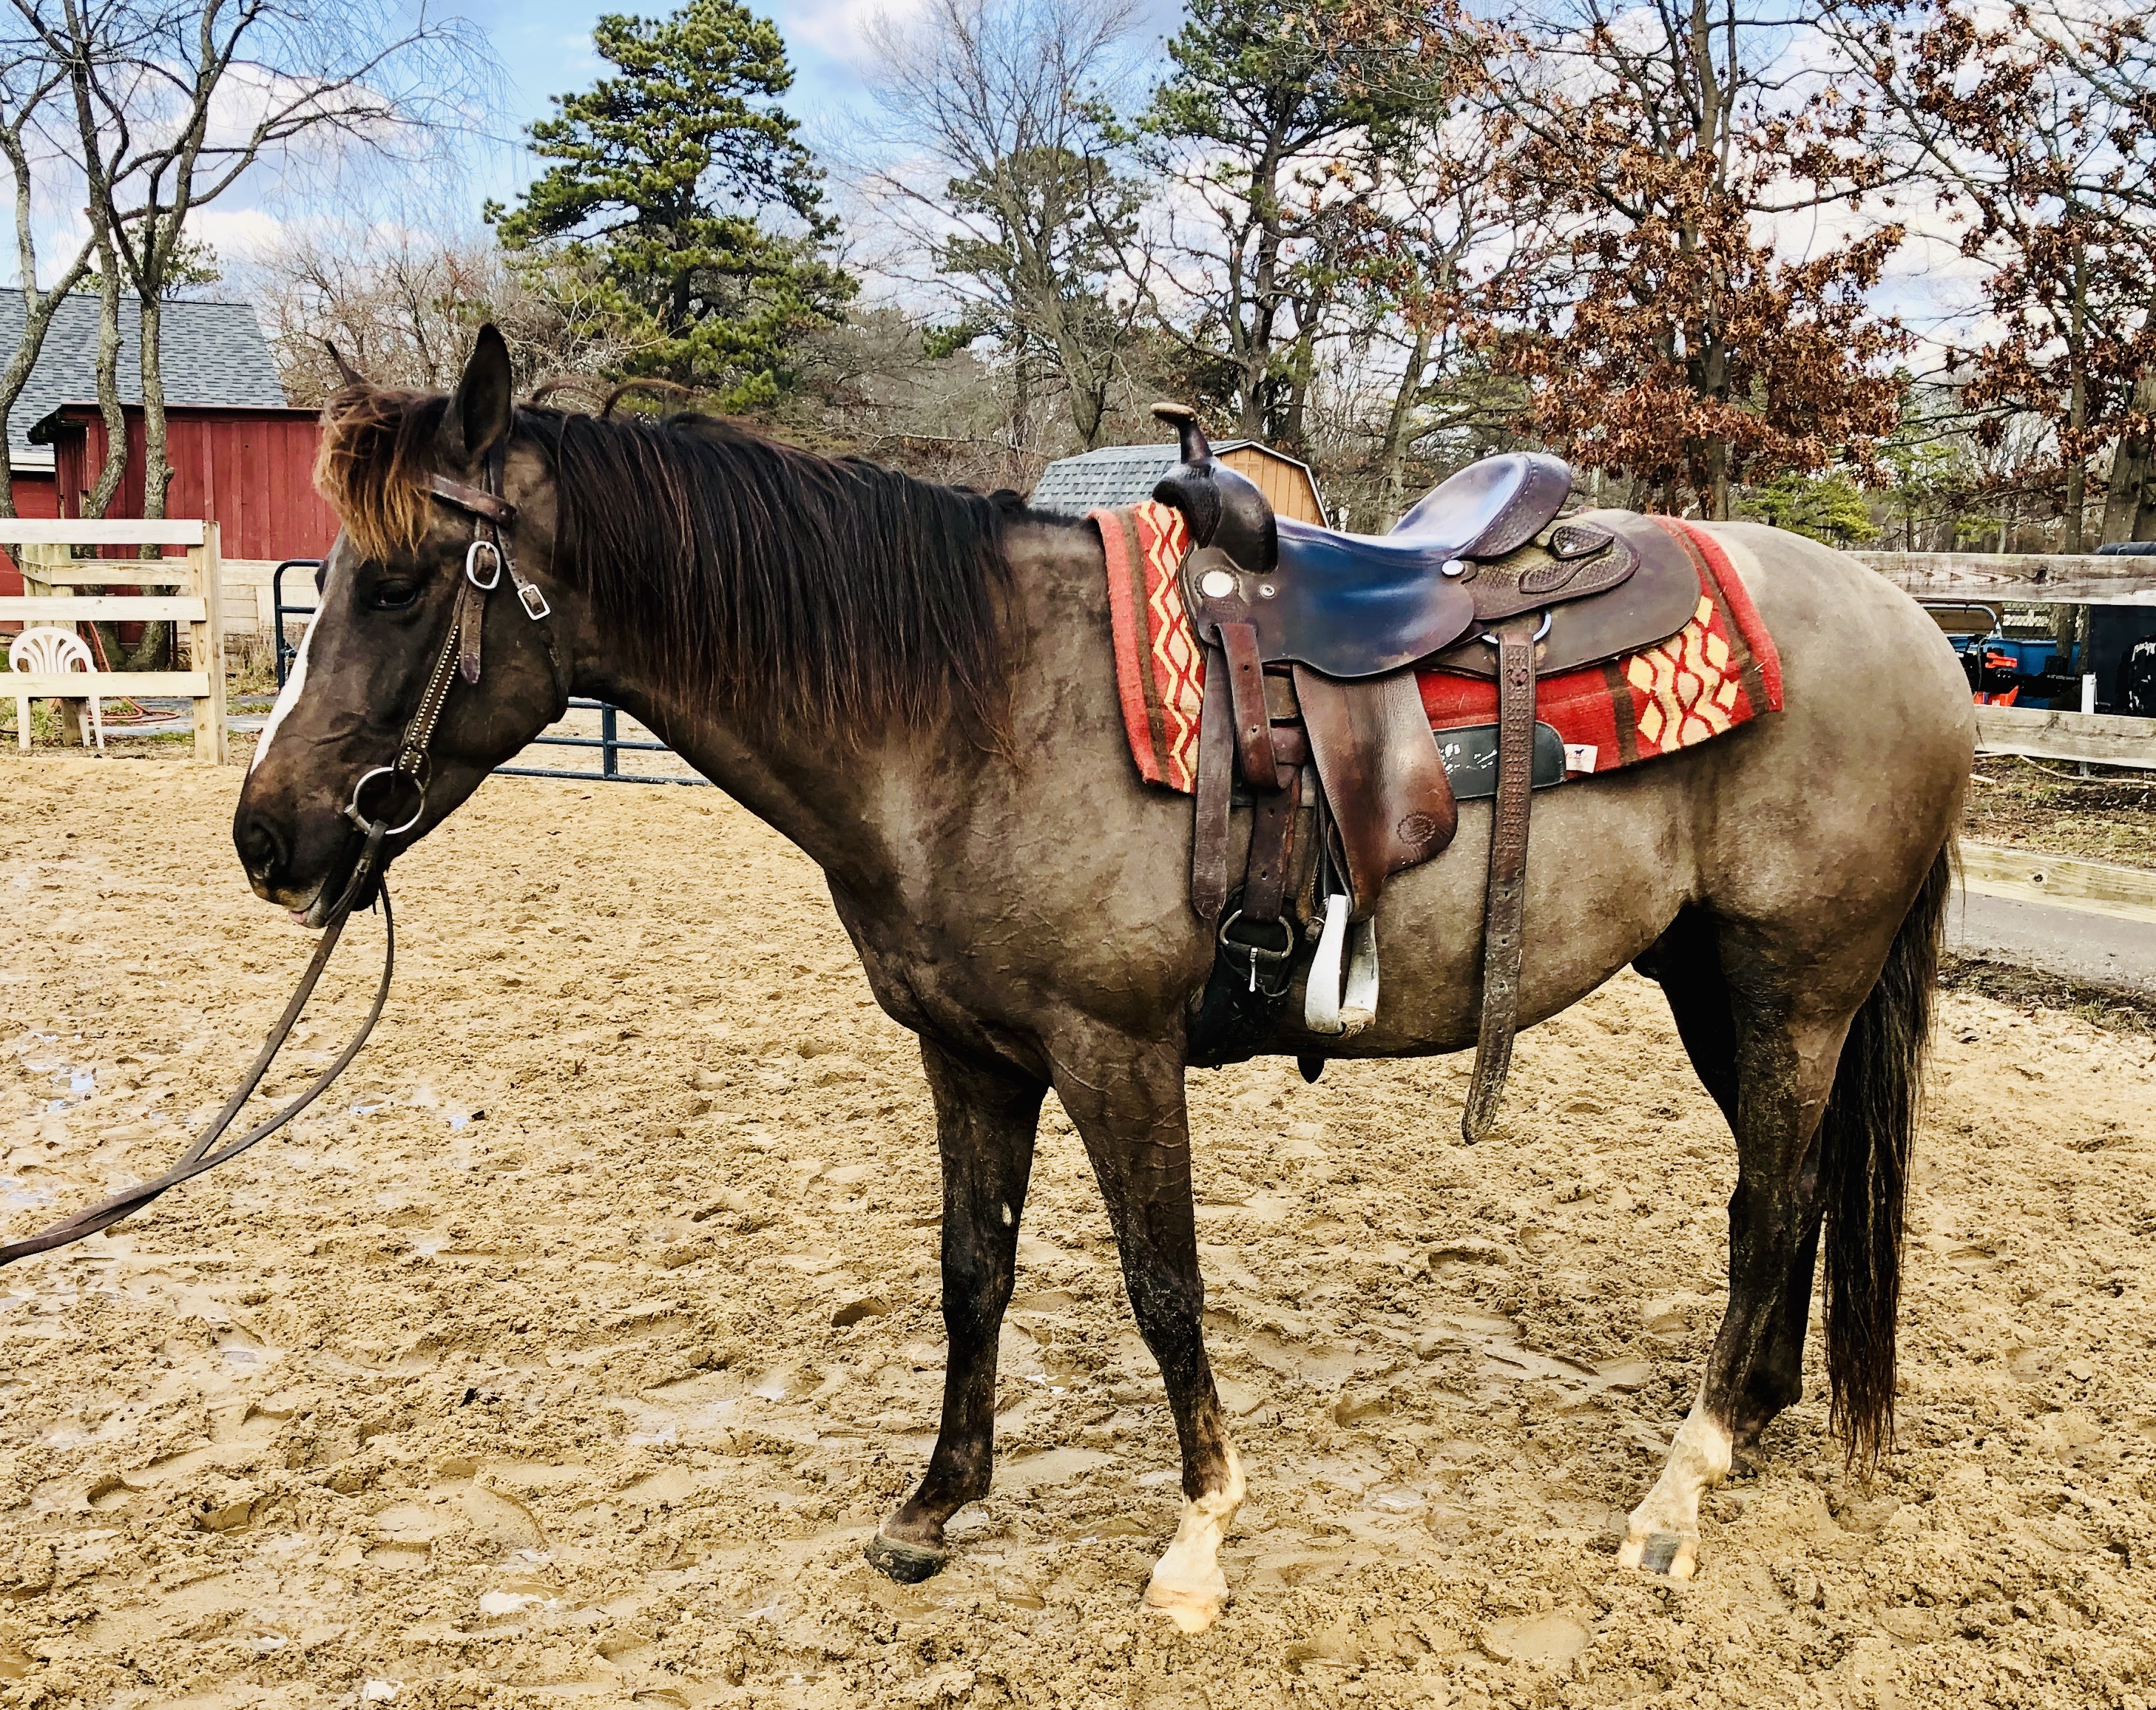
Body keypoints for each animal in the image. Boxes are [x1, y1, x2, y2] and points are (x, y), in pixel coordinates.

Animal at [235, 327, 1975, 1632]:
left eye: (398, 583)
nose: (267, 835)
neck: (971, 707)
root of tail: (1916, 628)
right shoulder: (970, 1051)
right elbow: (972, 1268)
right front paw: (935, 1503)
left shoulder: (1112, 1048)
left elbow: (1162, 1285)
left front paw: (1198, 1536)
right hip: (1718, 987)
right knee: (1795, 1192)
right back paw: (1747, 1427)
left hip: (1795, 986)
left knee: (1767, 1209)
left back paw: (1676, 1494)